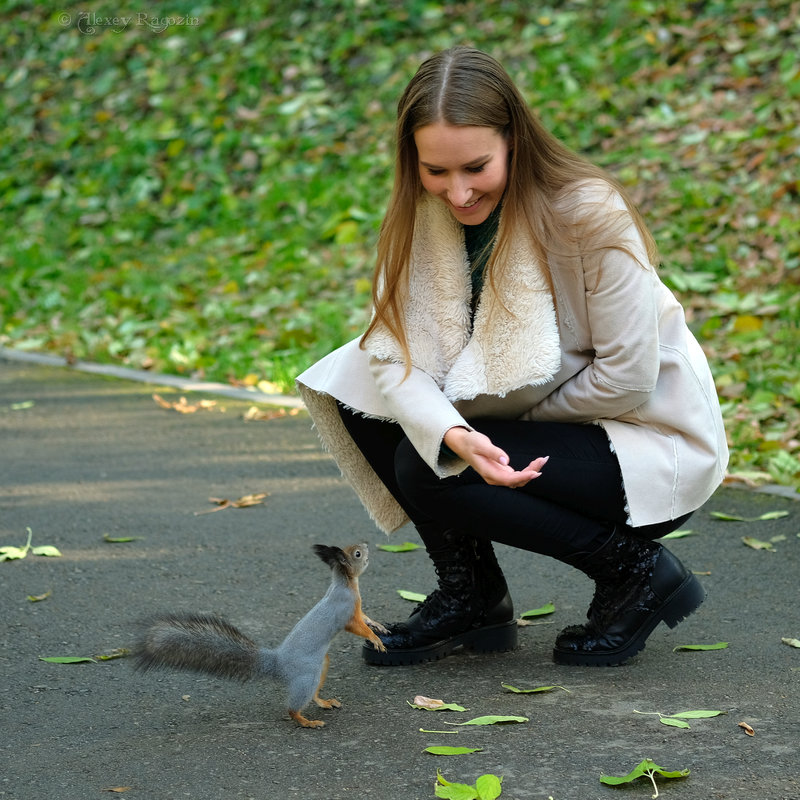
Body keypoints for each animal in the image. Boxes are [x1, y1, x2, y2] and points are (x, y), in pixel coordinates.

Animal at [134, 544, 388, 724]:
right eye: (357, 554)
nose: (366, 545)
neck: (345, 583)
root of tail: (276, 664)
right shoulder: (346, 611)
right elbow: (357, 627)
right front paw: (375, 639)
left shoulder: (357, 610)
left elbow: (365, 618)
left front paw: (378, 626)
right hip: (307, 675)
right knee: (292, 708)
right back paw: (305, 721)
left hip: (320, 665)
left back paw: (323, 702)